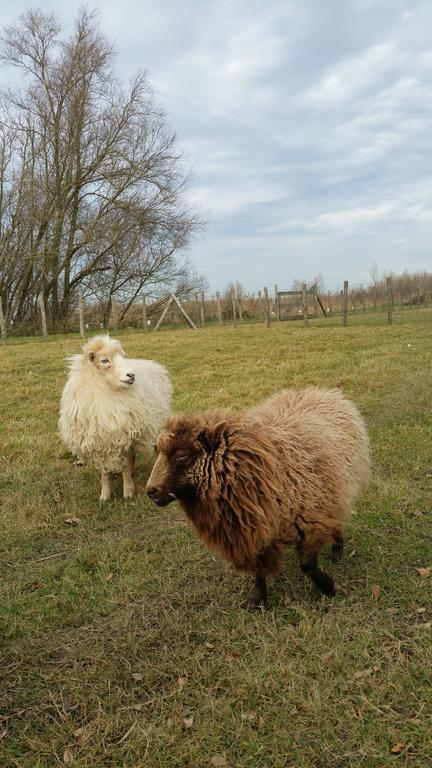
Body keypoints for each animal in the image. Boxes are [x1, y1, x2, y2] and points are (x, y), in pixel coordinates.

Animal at [58, 332, 172, 500]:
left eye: (122, 357)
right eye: (104, 360)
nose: (131, 375)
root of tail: (153, 364)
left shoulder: (124, 435)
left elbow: (125, 465)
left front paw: (128, 492)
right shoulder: (100, 441)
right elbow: (104, 471)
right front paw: (105, 495)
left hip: (157, 424)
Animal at [147, 388, 370, 608]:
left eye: (181, 456)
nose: (151, 491)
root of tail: (324, 392)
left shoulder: (310, 519)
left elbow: (307, 565)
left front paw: (328, 588)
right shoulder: (251, 532)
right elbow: (258, 570)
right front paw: (258, 599)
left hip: (337, 492)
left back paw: (337, 549)